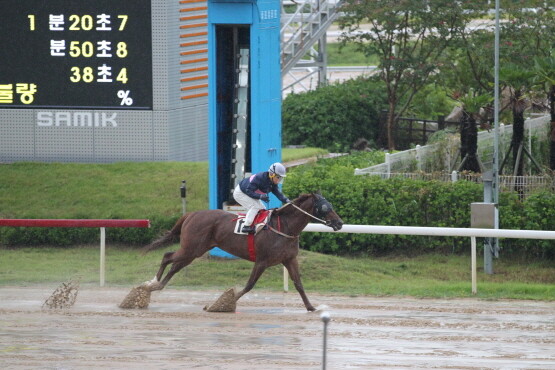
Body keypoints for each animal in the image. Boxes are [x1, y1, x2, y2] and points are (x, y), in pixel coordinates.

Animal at [140, 192, 344, 310]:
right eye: (325, 207)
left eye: (331, 205)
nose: (339, 223)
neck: (285, 227)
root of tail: (192, 214)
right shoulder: (262, 261)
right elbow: (249, 285)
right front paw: (221, 303)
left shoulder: (289, 259)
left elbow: (299, 284)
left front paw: (311, 307)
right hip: (191, 248)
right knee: (167, 256)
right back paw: (151, 284)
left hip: (195, 250)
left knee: (175, 266)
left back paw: (157, 285)